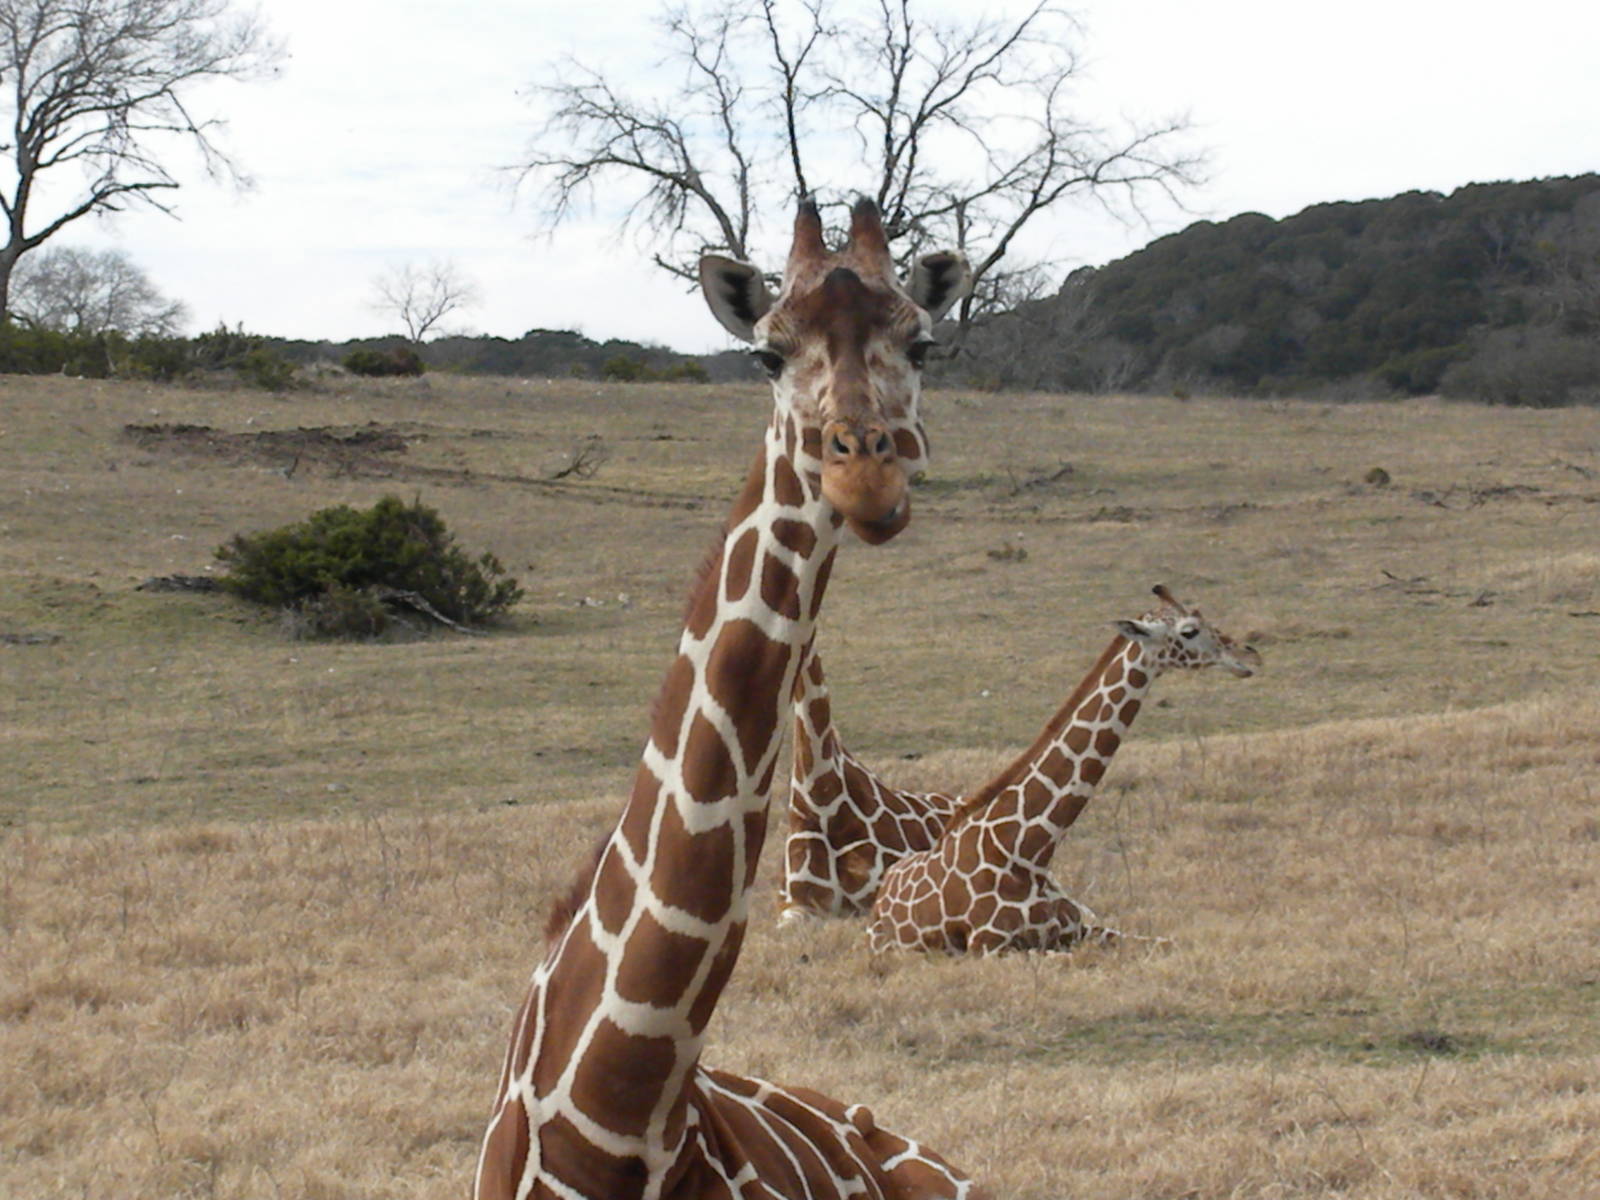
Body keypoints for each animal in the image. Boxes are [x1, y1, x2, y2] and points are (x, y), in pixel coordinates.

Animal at [865, 586, 1261, 956]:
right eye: (1189, 631)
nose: (1248, 655)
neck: (1029, 852)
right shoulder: (990, 948)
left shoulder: (1081, 929)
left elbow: (1168, 942)